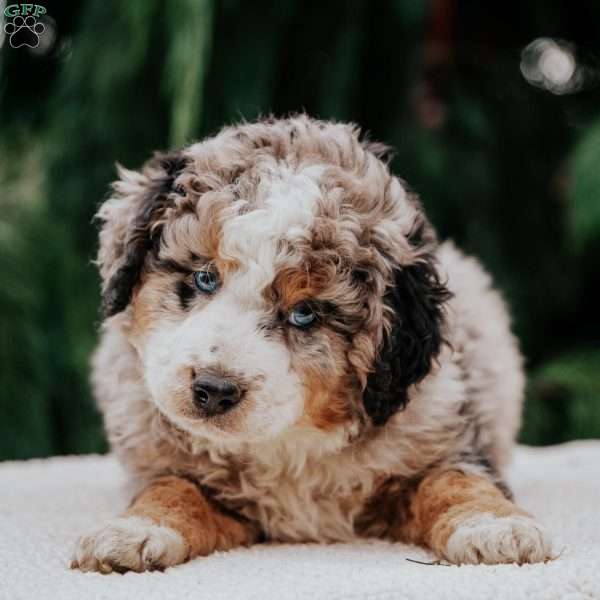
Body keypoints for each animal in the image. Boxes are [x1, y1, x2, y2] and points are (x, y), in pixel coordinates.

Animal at [71, 116, 552, 572]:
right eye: (204, 277)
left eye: (305, 313)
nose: (213, 390)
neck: (290, 443)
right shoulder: (179, 468)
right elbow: (173, 489)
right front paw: (134, 532)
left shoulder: (442, 441)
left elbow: (456, 481)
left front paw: (497, 527)